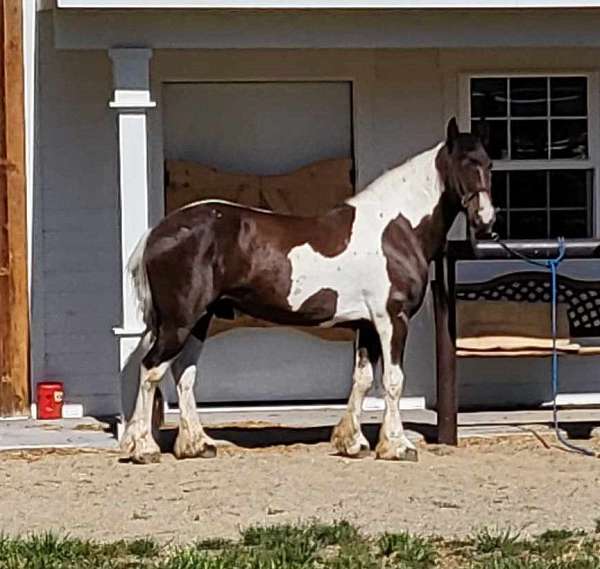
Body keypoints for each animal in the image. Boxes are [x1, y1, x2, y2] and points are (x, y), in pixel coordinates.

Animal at [120, 117, 492, 464]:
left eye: (489, 164)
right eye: (463, 163)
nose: (486, 221)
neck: (395, 229)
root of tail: (158, 232)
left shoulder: (367, 324)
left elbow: (362, 379)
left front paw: (352, 442)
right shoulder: (392, 319)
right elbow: (393, 380)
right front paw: (398, 446)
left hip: (199, 320)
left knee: (183, 374)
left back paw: (196, 444)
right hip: (180, 321)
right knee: (151, 369)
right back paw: (145, 448)